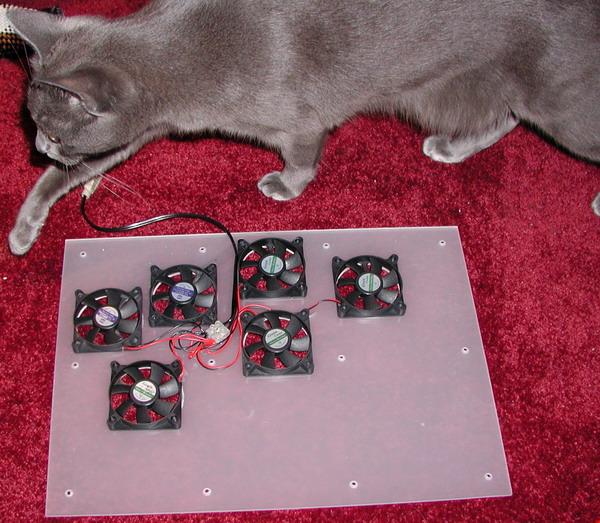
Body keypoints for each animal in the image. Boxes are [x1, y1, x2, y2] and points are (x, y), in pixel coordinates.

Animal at [6, 0, 600, 255]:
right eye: (35, 126)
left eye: (54, 133)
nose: (37, 145)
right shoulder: (143, 127)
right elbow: (65, 178)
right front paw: (24, 226)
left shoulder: (299, 122)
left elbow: (302, 158)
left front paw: (285, 187)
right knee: (504, 117)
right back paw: (452, 147)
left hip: (561, 101)